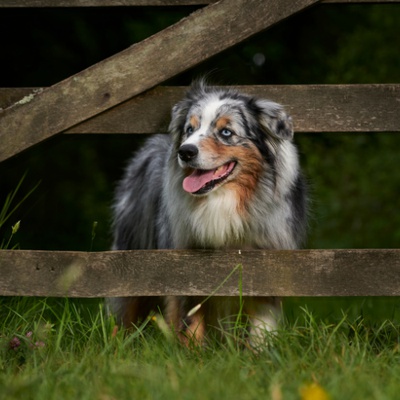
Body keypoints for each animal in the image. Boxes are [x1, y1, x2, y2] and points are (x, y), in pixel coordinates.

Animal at [106, 80, 306, 346]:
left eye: (226, 132)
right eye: (189, 129)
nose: (185, 151)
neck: (223, 201)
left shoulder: (267, 265)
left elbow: (261, 329)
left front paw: (258, 353)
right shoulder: (186, 269)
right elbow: (190, 325)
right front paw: (193, 354)